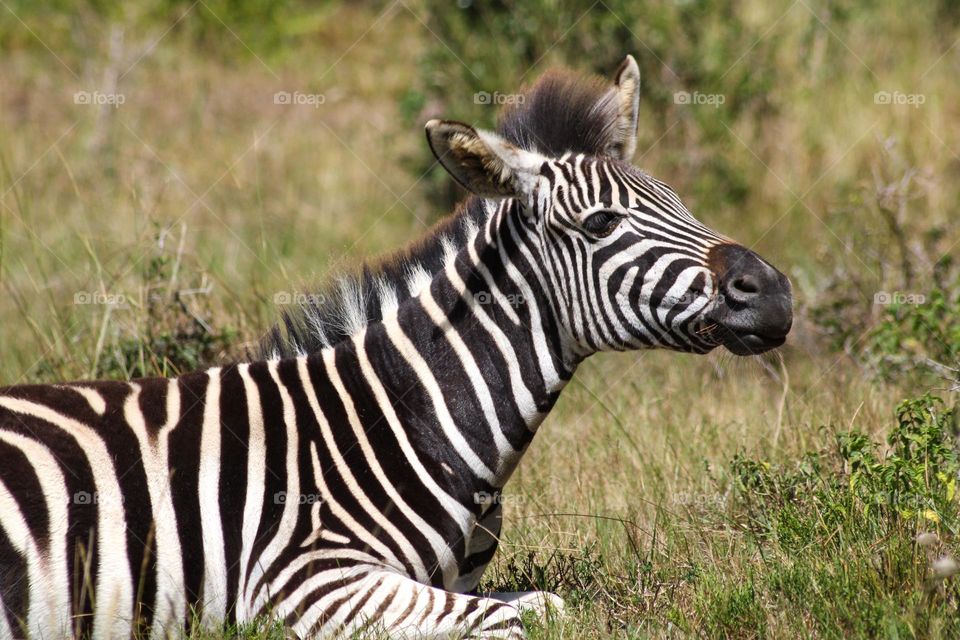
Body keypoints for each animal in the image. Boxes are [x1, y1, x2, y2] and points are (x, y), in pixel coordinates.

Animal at [0, 56, 796, 640]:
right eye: (601, 223)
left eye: (681, 203)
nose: (774, 292)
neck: (401, 421)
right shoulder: (300, 581)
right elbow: (518, 622)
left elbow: (543, 604)